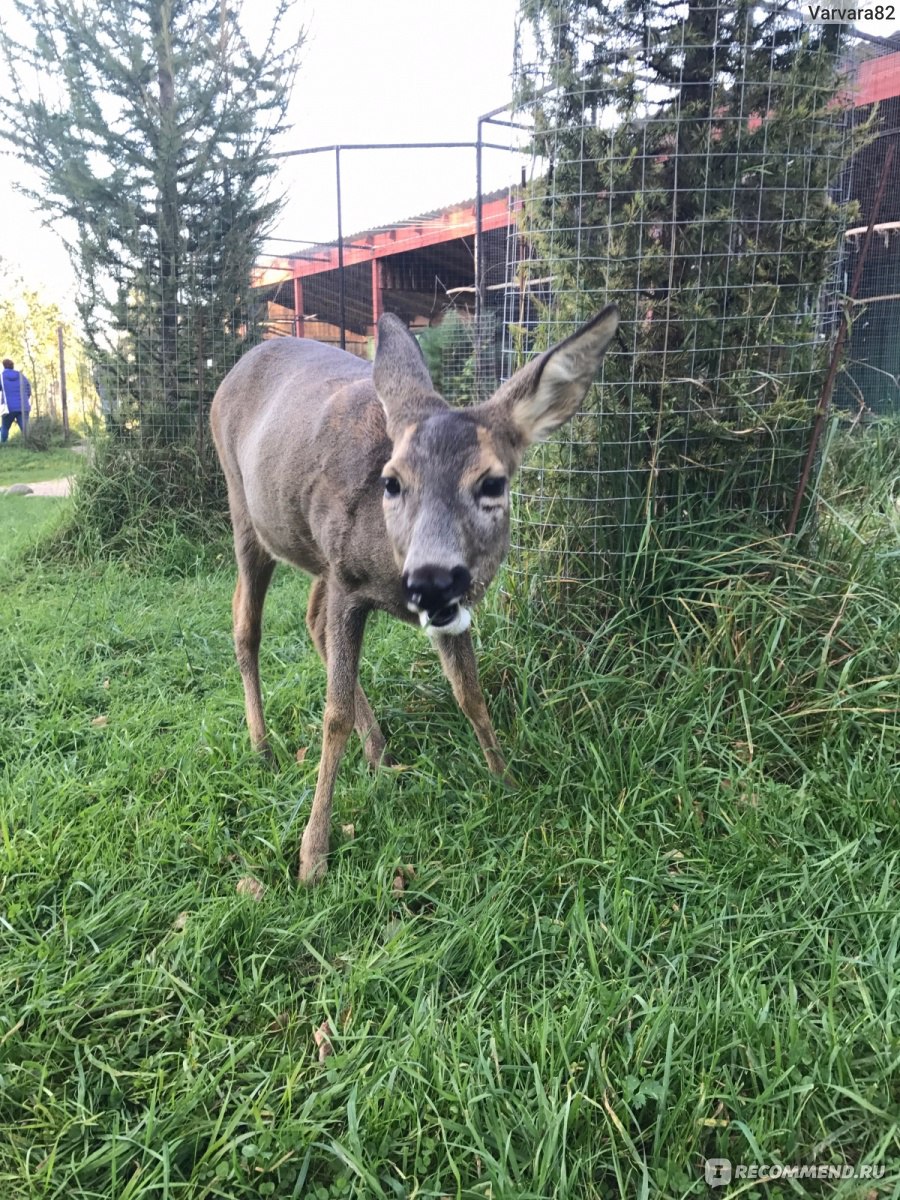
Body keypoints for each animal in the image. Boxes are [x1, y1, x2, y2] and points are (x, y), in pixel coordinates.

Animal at [211, 309, 619, 883]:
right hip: (243, 509)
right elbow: (333, 714)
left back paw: (379, 752)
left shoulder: (420, 601)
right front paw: (313, 856)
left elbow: (470, 693)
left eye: (493, 483)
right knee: (246, 625)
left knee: (310, 619)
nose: (432, 580)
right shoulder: (347, 582)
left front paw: (508, 781)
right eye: (392, 482)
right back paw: (263, 747)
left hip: (315, 553)